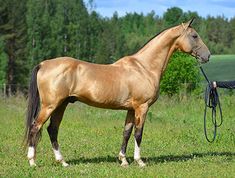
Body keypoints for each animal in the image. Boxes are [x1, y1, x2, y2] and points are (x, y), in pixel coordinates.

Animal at [24, 18, 211, 168]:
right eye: (194, 36)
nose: (207, 56)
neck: (144, 67)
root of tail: (43, 64)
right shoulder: (142, 107)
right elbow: (138, 133)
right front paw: (139, 161)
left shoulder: (131, 109)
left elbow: (126, 133)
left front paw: (123, 161)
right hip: (50, 105)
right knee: (35, 127)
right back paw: (33, 162)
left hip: (61, 105)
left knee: (52, 130)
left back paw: (62, 162)